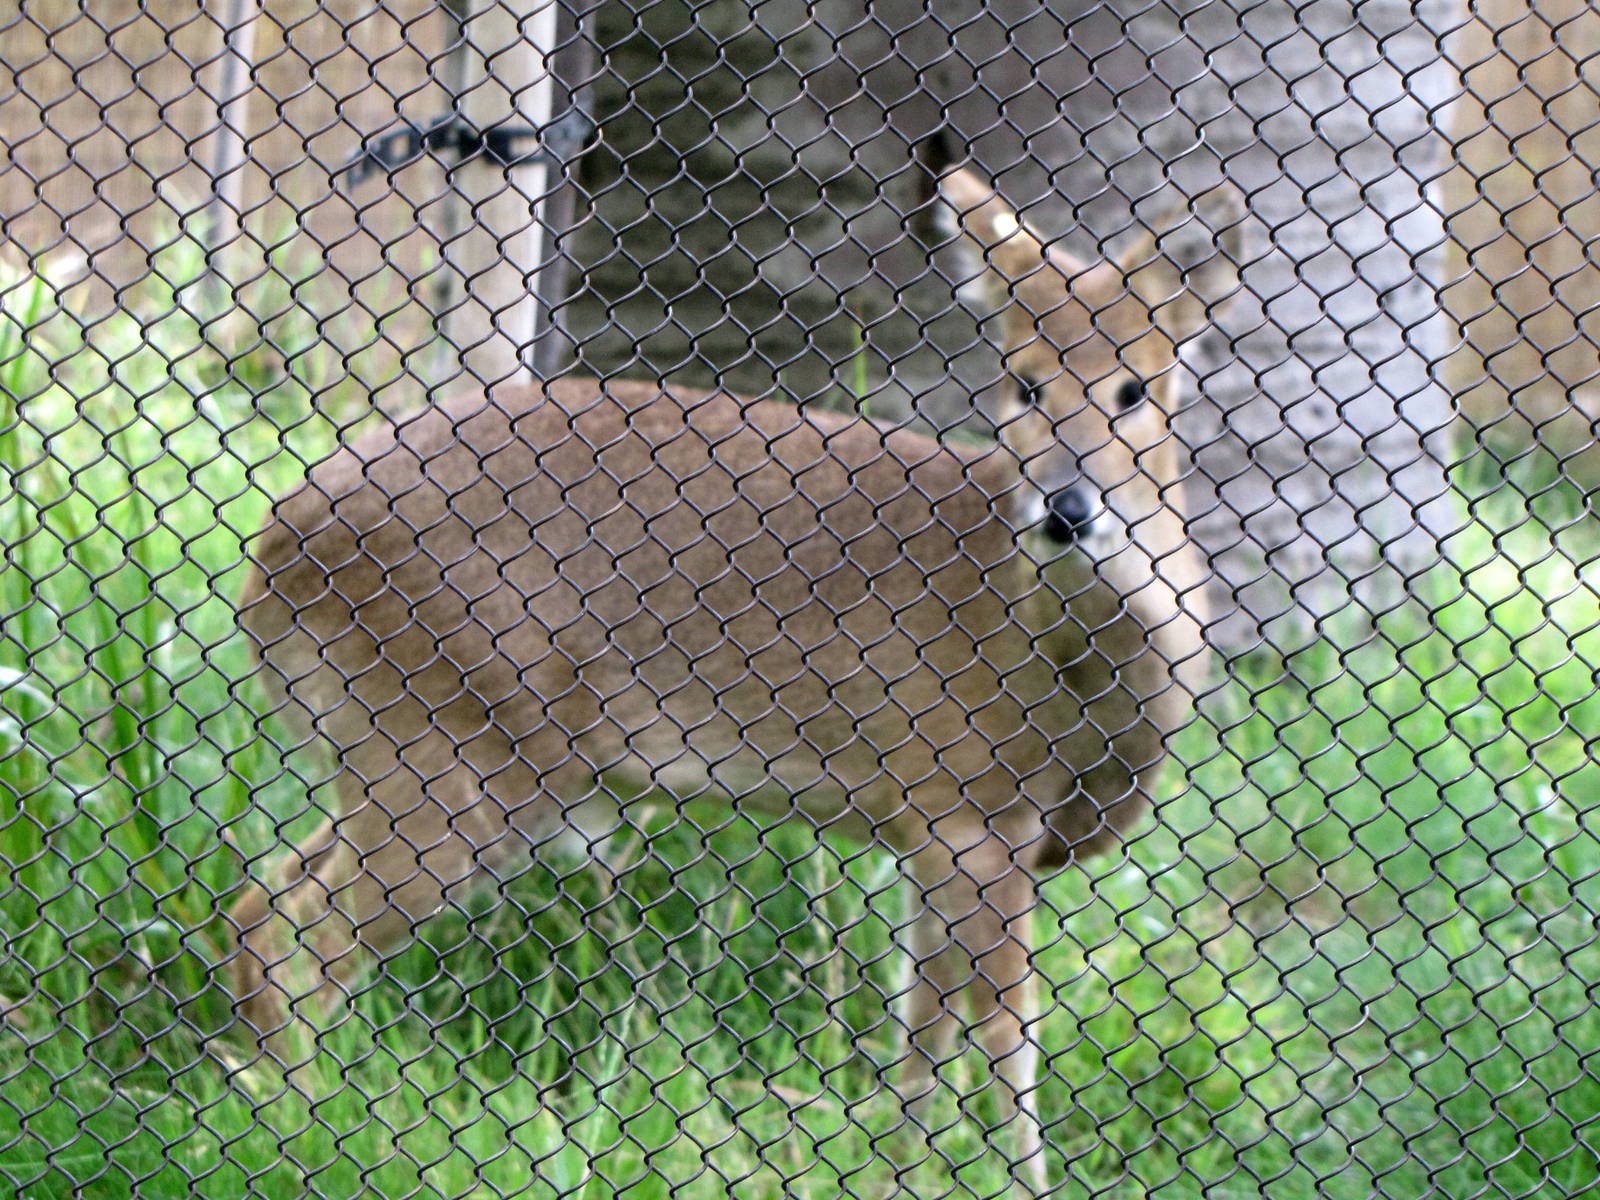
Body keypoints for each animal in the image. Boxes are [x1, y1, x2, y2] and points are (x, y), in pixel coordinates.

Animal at [228, 168, 1240, 1191]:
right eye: (1025, 380)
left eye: (1134, 388)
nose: (1067, 510)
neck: (1077, 680)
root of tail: (272, 552)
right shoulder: (971, 803)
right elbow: (1004, 1040)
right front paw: (1013, 1182)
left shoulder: (926, 828)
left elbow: (923, 1034)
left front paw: (892, 1170)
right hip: (452, 747)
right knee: (296, 931)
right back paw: (298, 1128)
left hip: (409, 749)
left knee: (261, 899)